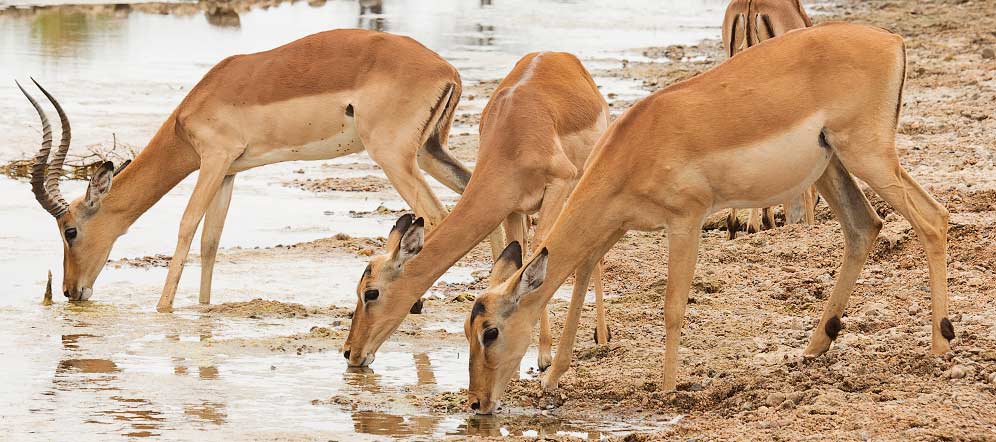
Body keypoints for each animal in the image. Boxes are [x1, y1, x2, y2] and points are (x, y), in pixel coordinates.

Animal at [17, 29, 480, 311]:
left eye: (70, 230)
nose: (71, 291)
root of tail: (447, 69)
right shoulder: (229, 172)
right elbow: (211, 239)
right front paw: (203, 308)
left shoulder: (213, 160)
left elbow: (187, 226)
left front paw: (163, 308)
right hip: (430, 153)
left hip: (392, 157)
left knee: (436, 214)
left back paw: (414, 304)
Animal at [343, 52, 610, 371]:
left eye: (370, 292)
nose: (350, 352)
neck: (513, 139)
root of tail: (559, 56)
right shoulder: (511, 208)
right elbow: (514, 262)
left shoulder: (559, 183)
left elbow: (540, 249)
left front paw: (544, 355)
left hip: (583, 179)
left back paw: (602, 338)